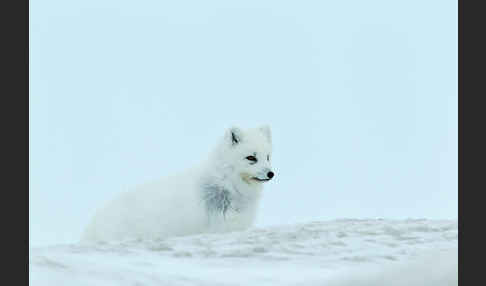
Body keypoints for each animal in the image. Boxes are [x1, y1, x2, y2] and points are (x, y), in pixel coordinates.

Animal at [81, 125, 276, 241]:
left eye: (267, 157)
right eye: (251, 158)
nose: (271, 173)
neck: (227, 183)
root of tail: (91, 227)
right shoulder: (219, 227)